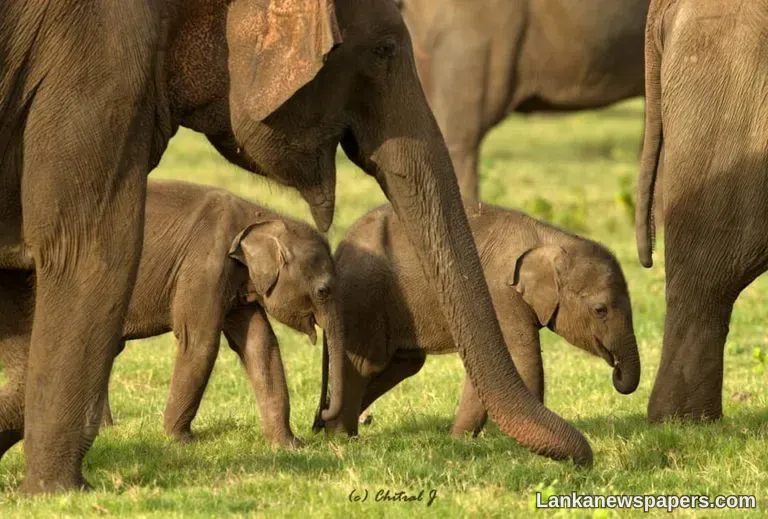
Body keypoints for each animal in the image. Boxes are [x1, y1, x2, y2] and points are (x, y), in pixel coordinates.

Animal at [0, 180, 343, 448]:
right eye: (323, 291)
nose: (319, 423)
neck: (260, 216)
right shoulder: (203, 266)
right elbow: (199, 342)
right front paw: (180, 440)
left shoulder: (238, 283)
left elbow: (260, 346)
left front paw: (290, 445)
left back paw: (107, 429)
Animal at [316, 203, 639, 437]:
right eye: (600, 310)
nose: (616, 372)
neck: (551, 239)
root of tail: (339, 250)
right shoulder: (501, 295)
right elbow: (522, 360)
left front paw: (459, 439)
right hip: (364, 295)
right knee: (363, 364)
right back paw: (341, 436)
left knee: (402, 364)